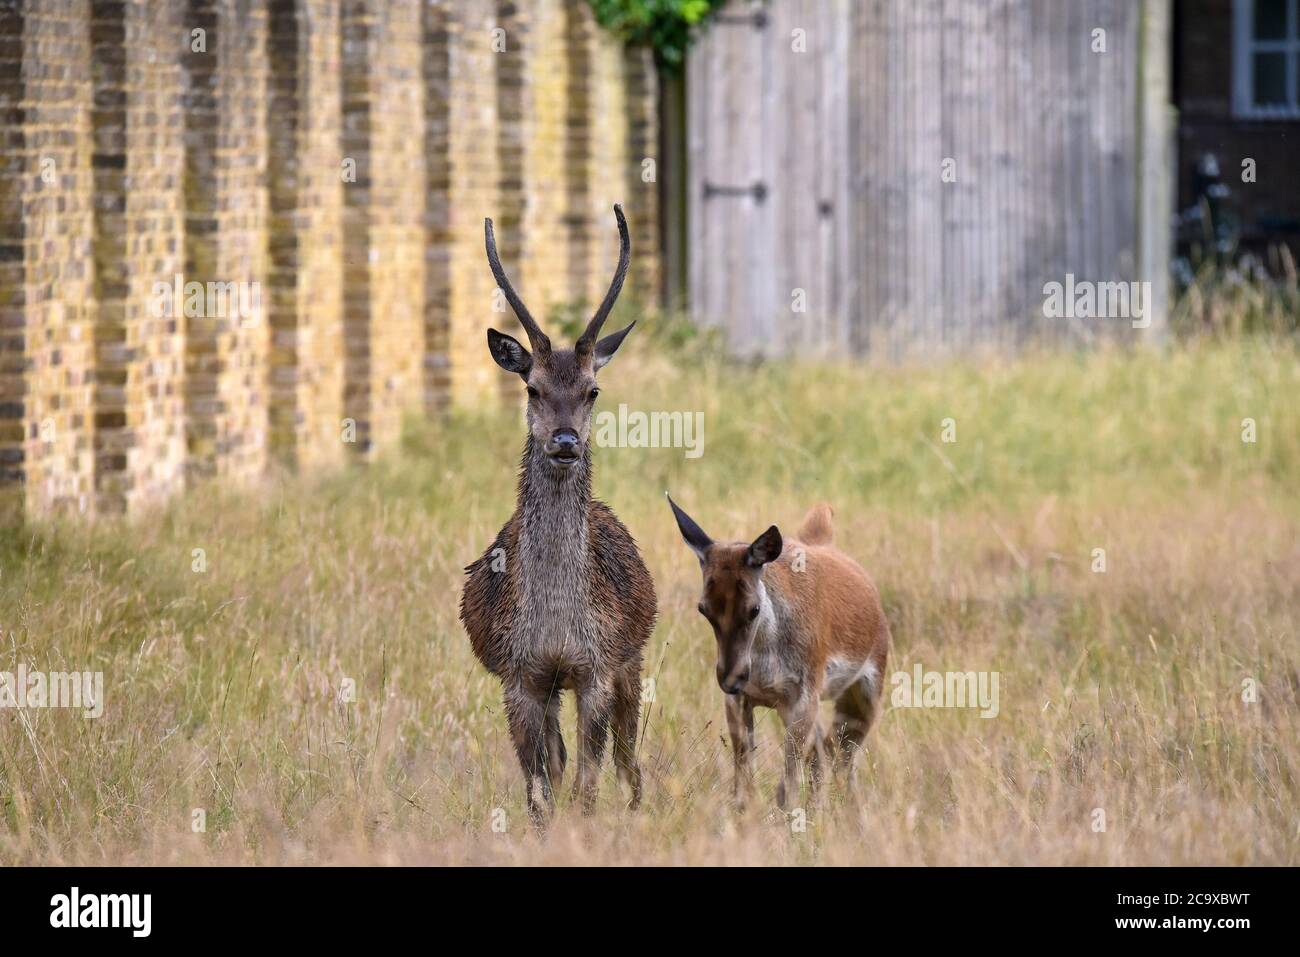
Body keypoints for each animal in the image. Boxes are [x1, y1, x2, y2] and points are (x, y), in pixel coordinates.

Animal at [460, 205, 656, 824]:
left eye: (593, 390)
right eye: (532, 387)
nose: (566, 442)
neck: (554, 626)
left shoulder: (597, 666)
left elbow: (589, 784)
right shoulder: (520, 675)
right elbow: (539, 790)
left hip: (633, 659)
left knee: (628, 759)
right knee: (562, 758)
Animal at [666, 496, 890, 811]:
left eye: (754, 608)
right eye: (703, 608)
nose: (731, 678)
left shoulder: (805, 691)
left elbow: (787, 786)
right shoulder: (741, 700)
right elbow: (743, 786)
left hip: (867, 690)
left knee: (842, 757)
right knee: (825, 751)